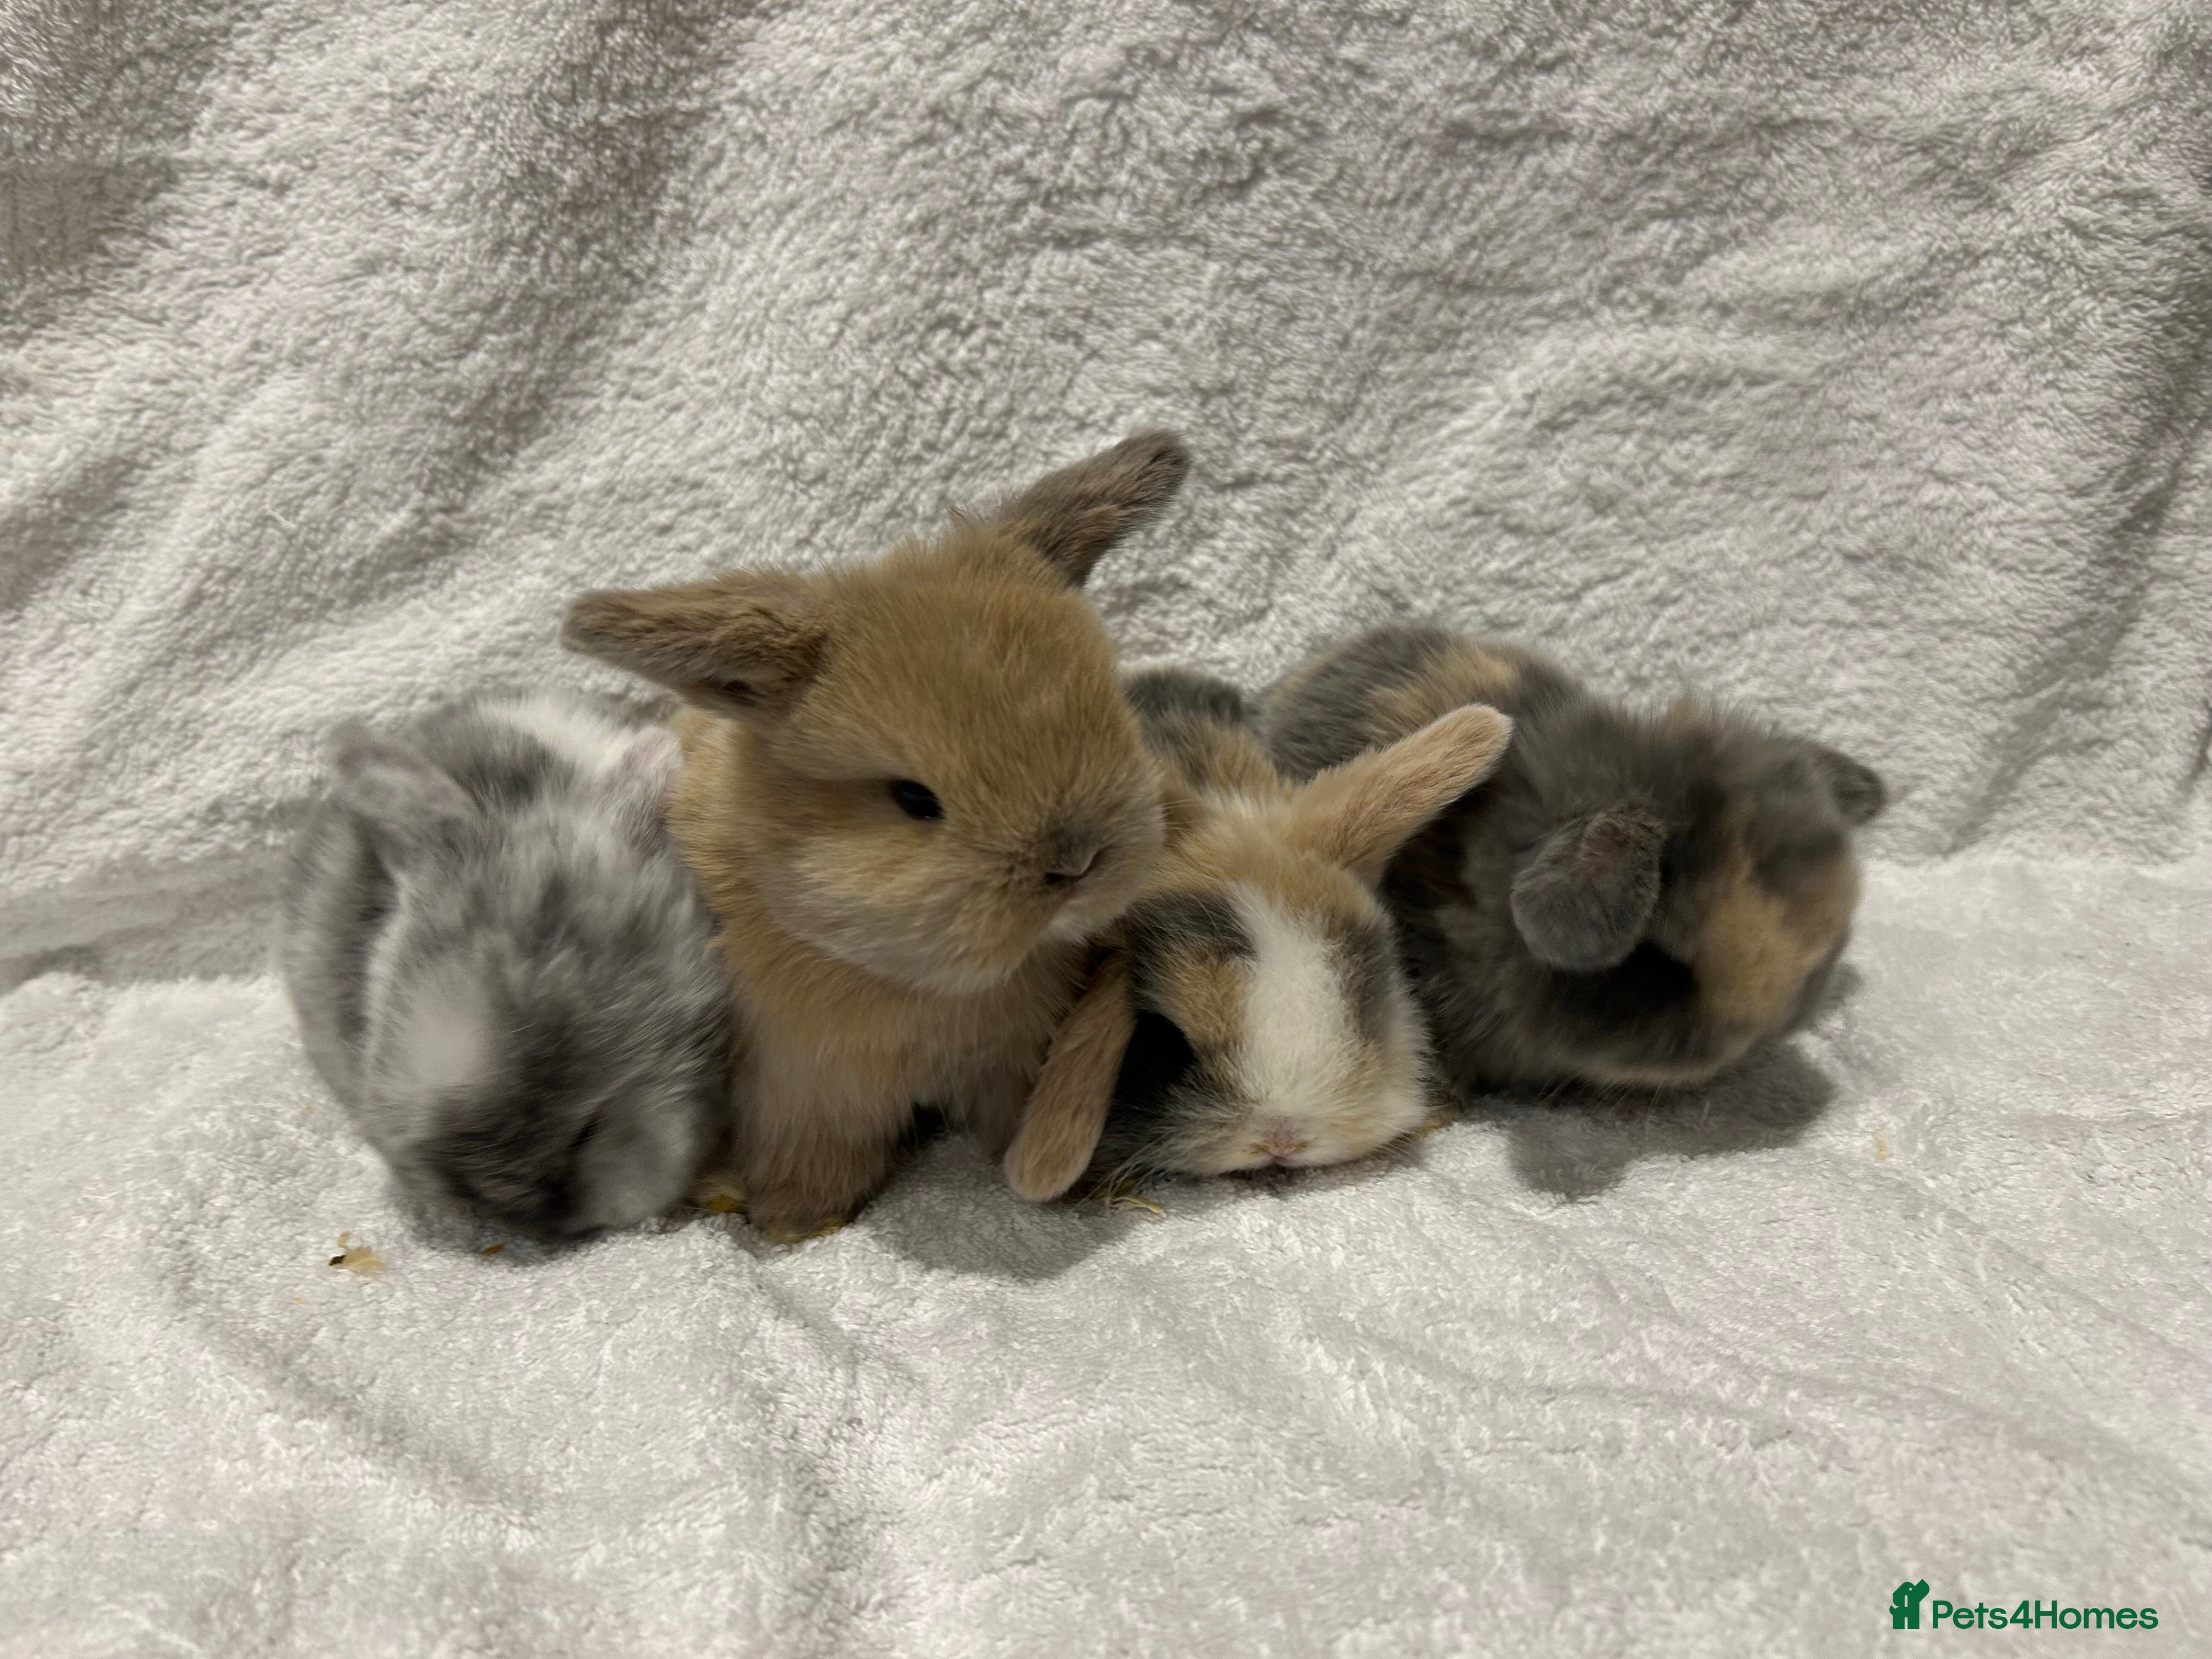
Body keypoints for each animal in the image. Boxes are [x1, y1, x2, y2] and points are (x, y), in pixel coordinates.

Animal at [559, 432, 1186, 1240]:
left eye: (1113, 716)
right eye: (914, 798)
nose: (1077, 863)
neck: (917, 986)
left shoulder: (1014, 1060)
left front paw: (1080, 1189)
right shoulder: (807, 1089)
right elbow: (820, 1156)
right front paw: (795, 1222)